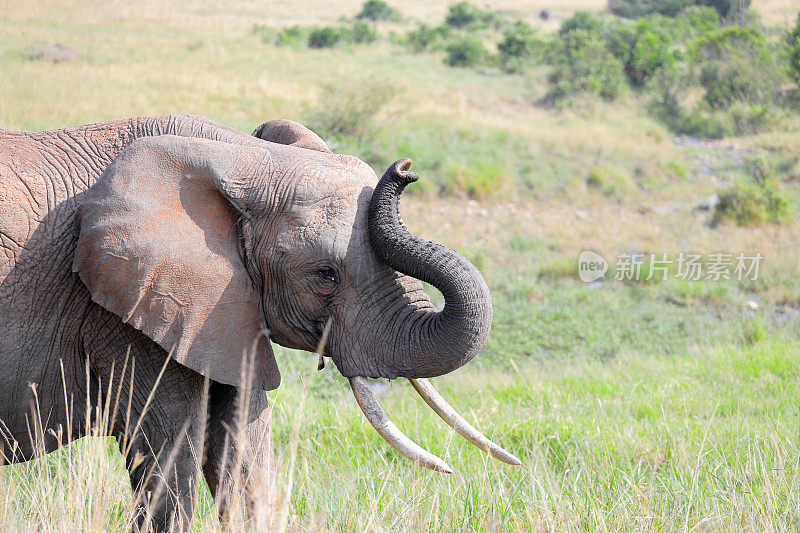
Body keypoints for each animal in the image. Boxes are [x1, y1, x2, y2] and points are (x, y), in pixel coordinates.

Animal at [0, 114, 520, 528]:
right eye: (325, 275)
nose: (405, 168)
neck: (239, 156)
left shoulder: (218, 312)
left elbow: (245, 454)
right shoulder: (123, 311)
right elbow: (169, 455)